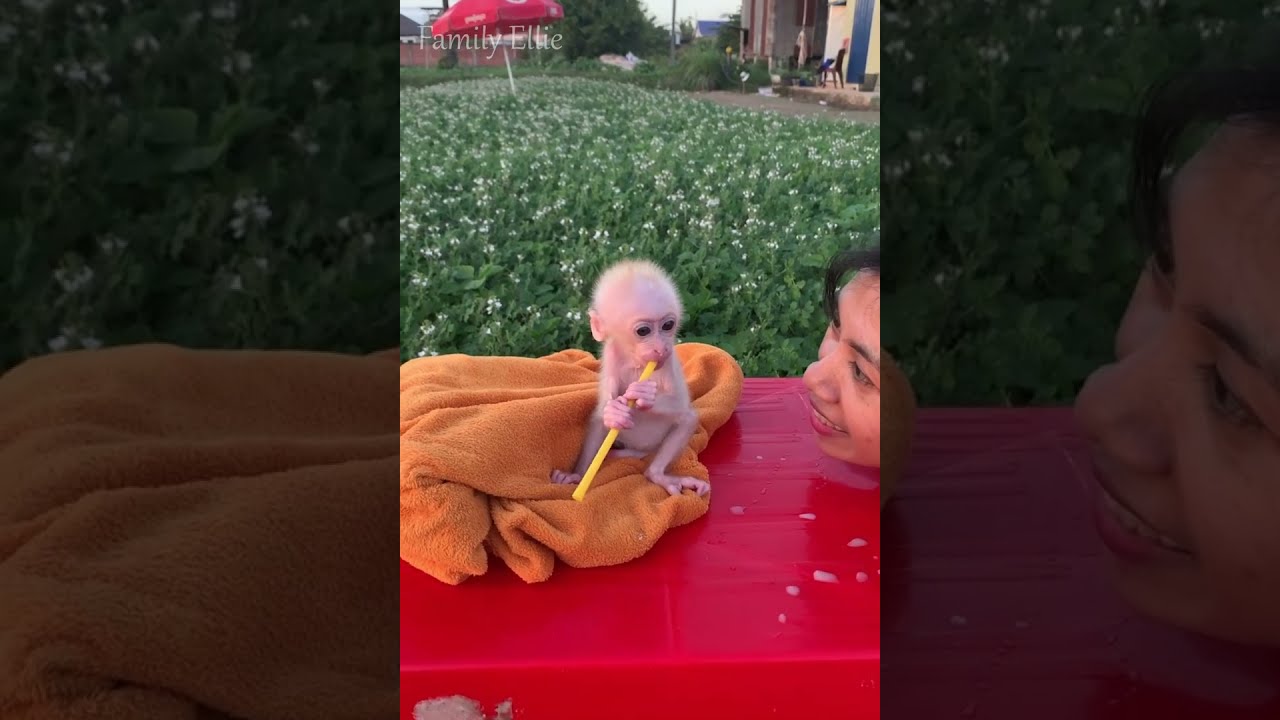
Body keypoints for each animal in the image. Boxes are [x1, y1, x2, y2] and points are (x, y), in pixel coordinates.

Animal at [550, 259, 711, 497]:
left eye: (668, 326)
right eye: (643, 331)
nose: (660, 348)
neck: (635, 361)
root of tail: (640, 450)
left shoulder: (668, 360)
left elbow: (679, 402)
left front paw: (645, 395)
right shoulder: (611, 352)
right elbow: (603, 408)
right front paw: (613, 411)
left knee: (687, 418)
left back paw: (657, 474)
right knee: (598, 420)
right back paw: (577, 475)